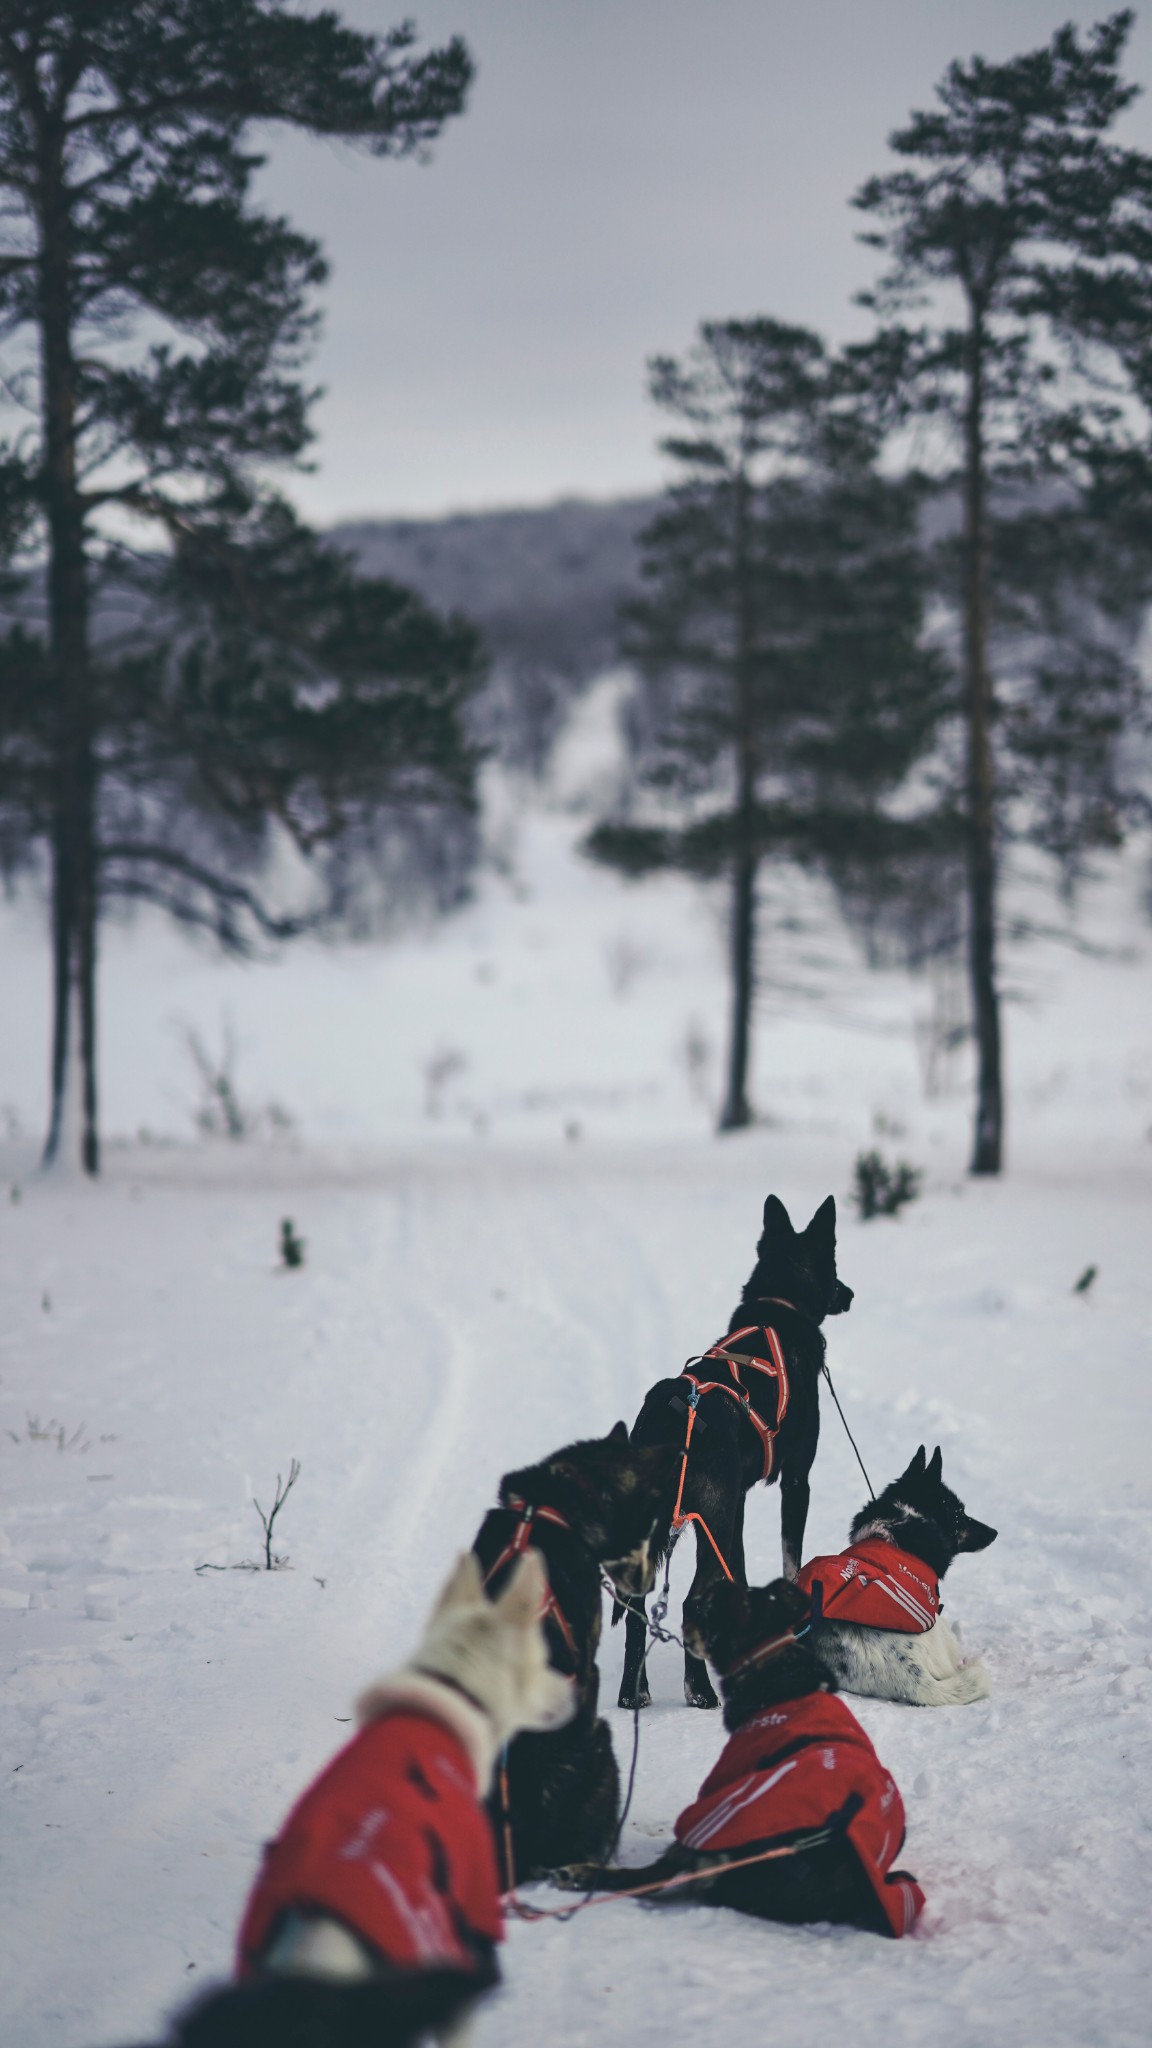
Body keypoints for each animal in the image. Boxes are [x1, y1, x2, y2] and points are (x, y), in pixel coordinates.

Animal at [553, 1564, 918, 1933]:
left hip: (704, 1820)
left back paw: (580, 1873)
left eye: (708, 1609)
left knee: (647, 1877)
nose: (684, 1621)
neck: (774, 1662)